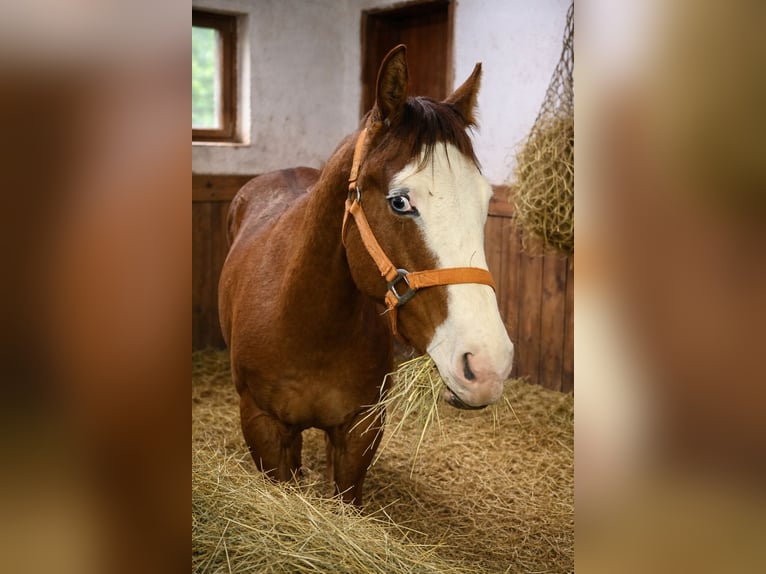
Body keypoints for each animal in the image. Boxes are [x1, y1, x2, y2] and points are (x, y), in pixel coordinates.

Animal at [218, 45, 514, 505]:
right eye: (399, 202)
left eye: (485, 201)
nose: (487, 365)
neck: (309, 322)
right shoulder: (262, 425)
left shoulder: (360, 430)